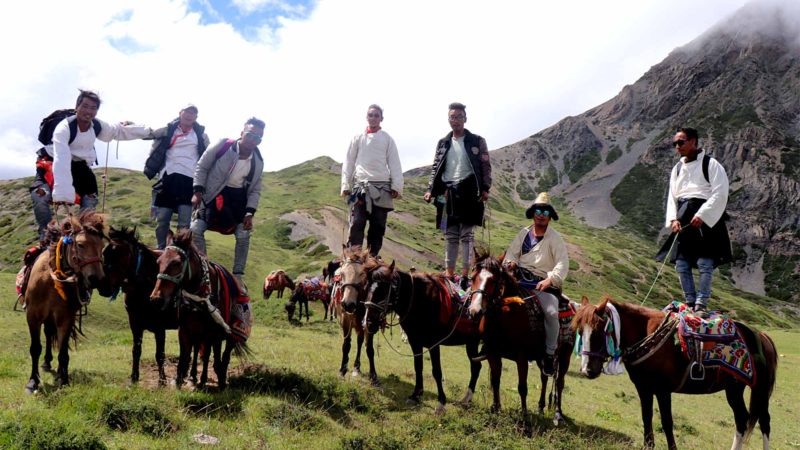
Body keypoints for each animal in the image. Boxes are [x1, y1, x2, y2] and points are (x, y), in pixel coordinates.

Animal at [24, 213, 108, 392]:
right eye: (81, 245)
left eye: (102, 246)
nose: (97, 279)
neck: (50, 280)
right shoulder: (32, 316)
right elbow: (35, 348)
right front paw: (33, 381)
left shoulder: (65, 318)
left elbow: (63, 353)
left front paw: (64, 380)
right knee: (48, 334)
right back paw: (47, 364)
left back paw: (57, 371)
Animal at [148, 230, 250, 388]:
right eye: (159, 262)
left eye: (177, 262)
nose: (156, 298)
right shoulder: (185, 329)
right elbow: (185, 356)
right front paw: (179, 380)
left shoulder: (212, 332)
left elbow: (209, 355)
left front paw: (208, 381)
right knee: (199, 351)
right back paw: (194, 377)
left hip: (231, 334)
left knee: (224, 354)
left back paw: (218, 378)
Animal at [364, 258, 482, 414]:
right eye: (367, 287)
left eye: (383, 289)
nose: (369, 323)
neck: (419, 300)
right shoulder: (415, 342)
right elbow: (418, 366)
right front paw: (415, 395)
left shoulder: (433, 344)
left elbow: (436, 371)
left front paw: (441, 403)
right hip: (471, 343)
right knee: (476, 367)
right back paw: (466, 399)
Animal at [462, 251, 576, 424]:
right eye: (473, 277)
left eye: (493, 280)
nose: (475, 311)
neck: (506, 315)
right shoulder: (493, 353)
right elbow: (495, 380)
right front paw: (496, 409)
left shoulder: (521, 357)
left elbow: (522, 387)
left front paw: (524, 417)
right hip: (542, 357)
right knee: (544, 377)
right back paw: (541, 407)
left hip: (565, 355)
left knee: (559, 382)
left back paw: (558, 414)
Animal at [572, 296, 780, 450]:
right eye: (580, 331)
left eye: (599, 331)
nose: (587, 370)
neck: (648, 335)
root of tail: (762, 336)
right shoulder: (643, 388)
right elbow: (647, 418)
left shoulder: (663, 390)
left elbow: (666, 422)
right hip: (734, 389)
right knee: (742, 418)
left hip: (760, 389)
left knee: (765, 421)